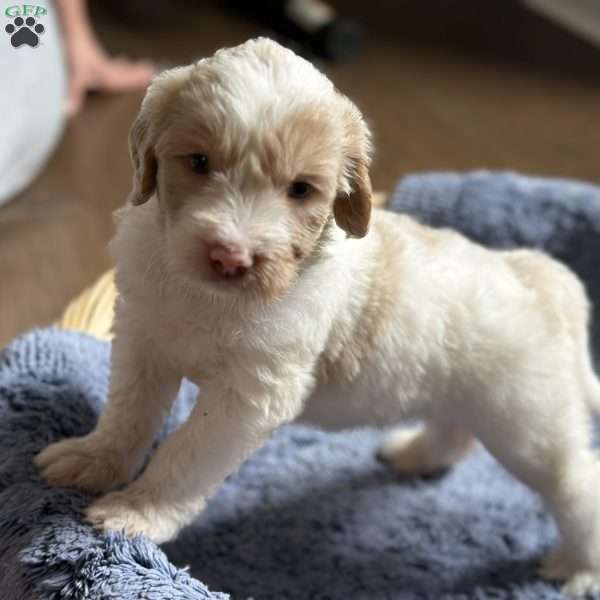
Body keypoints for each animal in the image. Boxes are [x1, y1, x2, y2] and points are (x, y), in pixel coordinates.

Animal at [35, 38, 600, 596]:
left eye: (300, 189)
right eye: (198, 161)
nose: (231, 258)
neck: (211, 300)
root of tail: (536, 275)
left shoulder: (246, 398)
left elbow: (185, 453)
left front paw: (136, 512)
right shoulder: (143, 342)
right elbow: (128, 416)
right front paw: (91, 460)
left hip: (528, 428)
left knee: (577, 483)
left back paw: (579, 569)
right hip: (469, 396)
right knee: (455, 432)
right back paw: (415, 455)